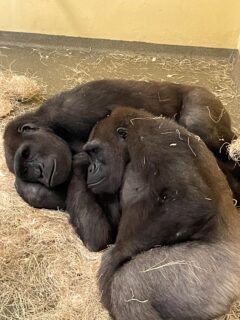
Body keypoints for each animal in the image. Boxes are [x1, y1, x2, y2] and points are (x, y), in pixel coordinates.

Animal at [83, 107, 240, 320]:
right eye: (89, 154)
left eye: (95, 151)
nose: (91, 169)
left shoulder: (153, 139)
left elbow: (190, 202)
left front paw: (113, 257)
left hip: (215, 276)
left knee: (129, 283)